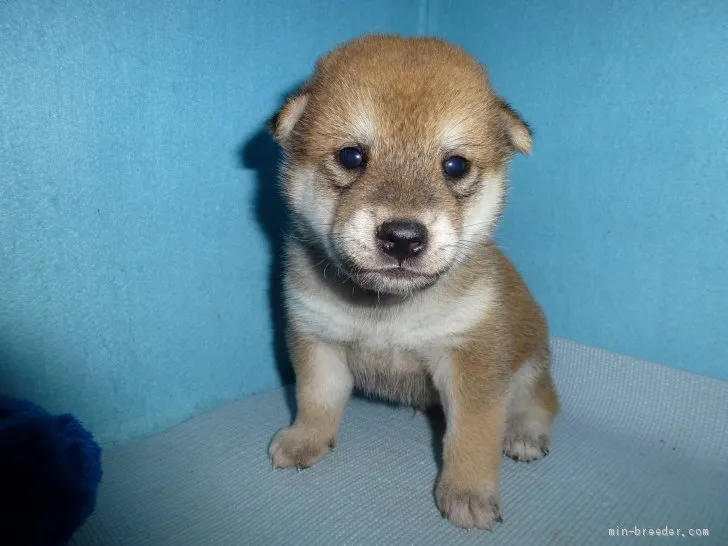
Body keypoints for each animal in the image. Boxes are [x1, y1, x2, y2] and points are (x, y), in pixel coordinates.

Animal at [268, 34, 556, 528]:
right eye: (351, 156)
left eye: (455, 165)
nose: (402, 238)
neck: (387, 310)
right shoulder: (317, 339)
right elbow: (316, 398)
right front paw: (306, 438)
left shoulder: (472, 361)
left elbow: (474, 434)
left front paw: (468, 492)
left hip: (531, 361)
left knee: (541, 400)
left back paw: (524, 433)